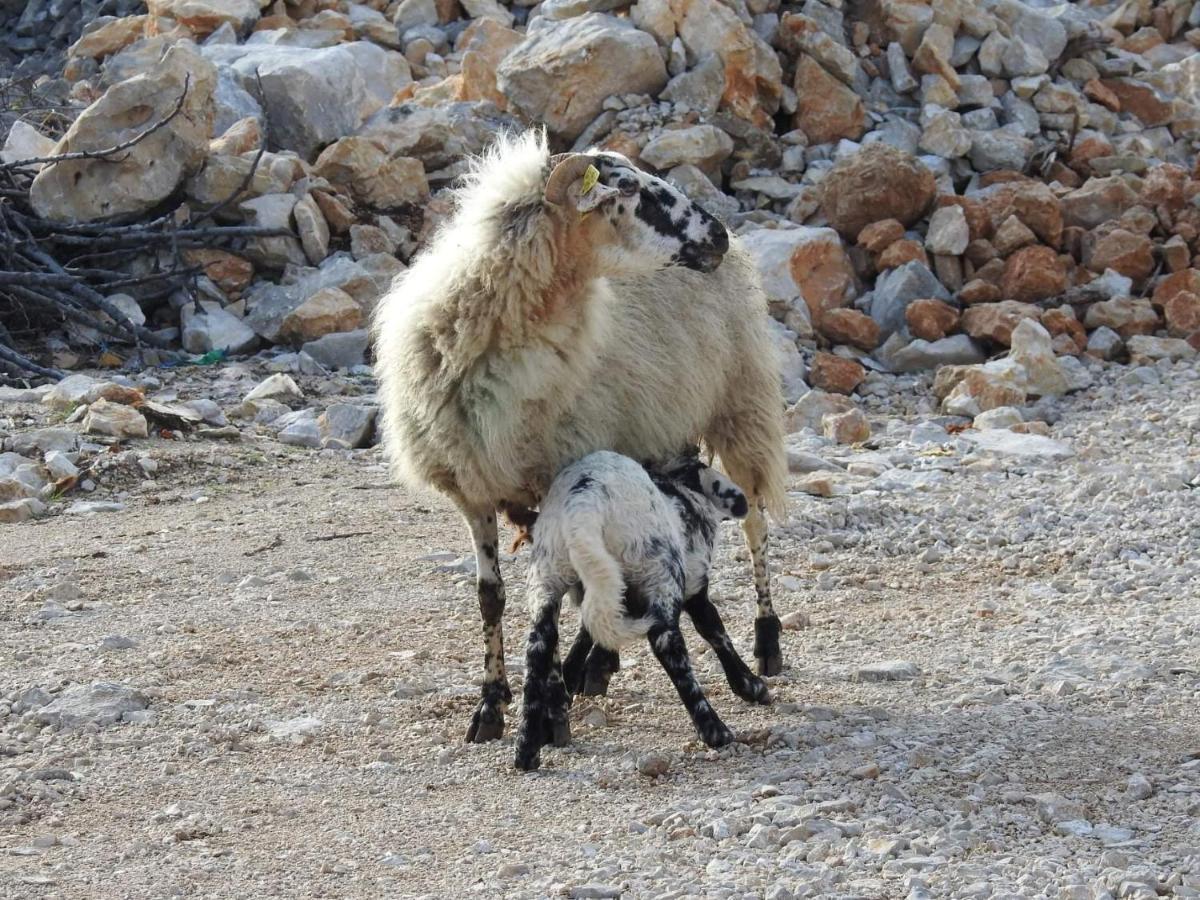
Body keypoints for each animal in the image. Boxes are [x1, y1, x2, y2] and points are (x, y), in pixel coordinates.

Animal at [513, 453, 758, 772]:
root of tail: (584, 506)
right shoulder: (695, 586)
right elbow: (715, 631)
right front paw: (751, 686)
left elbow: (585, 634)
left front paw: (569, 680)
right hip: (659, 571)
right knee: (667, 644)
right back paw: (715, 730)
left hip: (549, 574)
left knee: (538, 647)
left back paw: (526, 750)